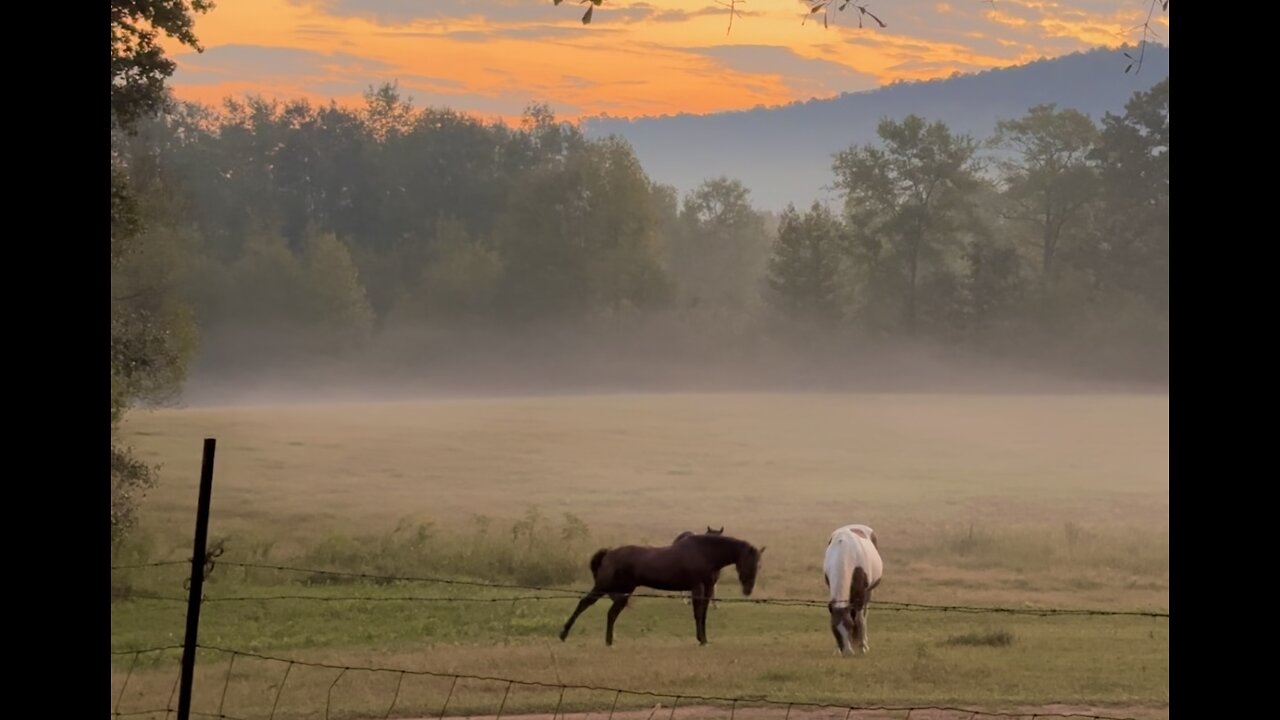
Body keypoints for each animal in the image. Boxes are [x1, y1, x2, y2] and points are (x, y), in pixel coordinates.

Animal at [558, 532, 757, 645]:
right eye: (748, 562)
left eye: (759, 564)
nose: (748, 590)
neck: (705, 553)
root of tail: (608, 553)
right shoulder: (697, 587)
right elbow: (698, 614)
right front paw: (701, 640)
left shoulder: (707, 589)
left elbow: (704, 615)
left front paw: (705, 639)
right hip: (603, 586)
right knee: (584, 603)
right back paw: (563, 634)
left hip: (624, 592)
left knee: (611, 613)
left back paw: (609, 641)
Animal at [824, 525, 885, 653]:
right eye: (834, 629)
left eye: (850, 626)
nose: (847, 652)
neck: (844, 553)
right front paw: (837, 650)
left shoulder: (861, 595)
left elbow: (859, 620)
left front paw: (862, 648)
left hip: (868, 593)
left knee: (864, 615)